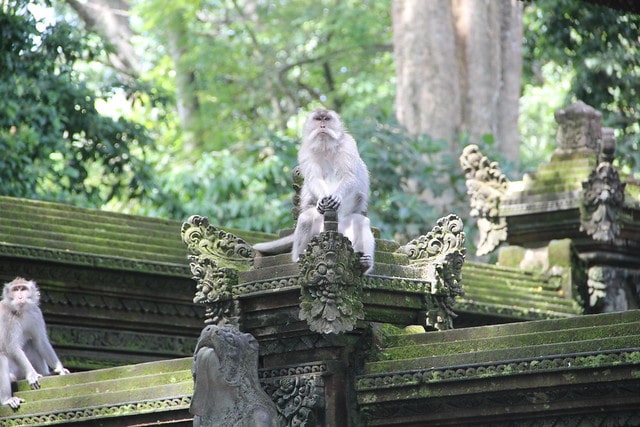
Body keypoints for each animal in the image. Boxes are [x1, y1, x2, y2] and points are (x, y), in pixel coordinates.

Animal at [0, 280, 69, 410]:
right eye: (15, 289)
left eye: (23, 289)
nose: (20, 297)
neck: (21, 312)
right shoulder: (7, 318)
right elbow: (12, 347)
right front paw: (32, 374)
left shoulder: (36, 313)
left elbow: (40, 341)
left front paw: (60, 368)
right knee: (1, 358)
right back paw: (6, 399)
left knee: (31, 343)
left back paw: (47, 374)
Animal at [254, 108, 376, 272]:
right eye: (318, 119)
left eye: (327, 119)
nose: (322, 126)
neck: (325, 147)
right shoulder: (305, 151)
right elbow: (313, 178)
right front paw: (322, 200)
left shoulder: (348, 145)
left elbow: (349, 175)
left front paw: (336, 197)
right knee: (306, 218)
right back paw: (299, 257)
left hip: (346, 227)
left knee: (362, 222)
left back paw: (365, 264)